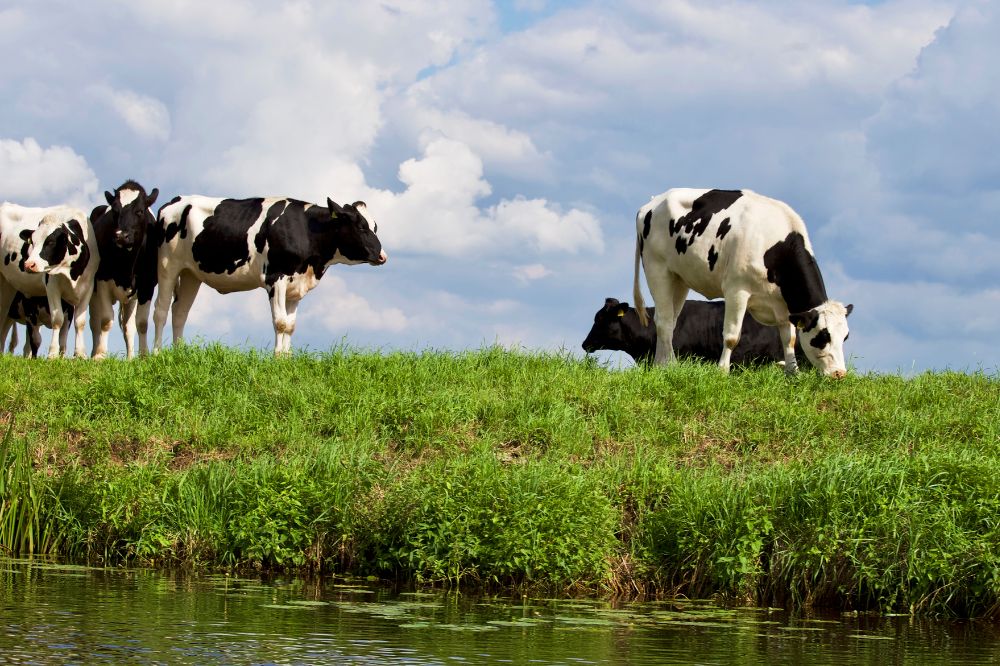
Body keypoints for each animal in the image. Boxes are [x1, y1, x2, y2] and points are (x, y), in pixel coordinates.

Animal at [0, 202, 98, 358]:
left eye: (51, 242)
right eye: (32, 242)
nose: (28, 264)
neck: (72, 273)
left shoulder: (88, 286)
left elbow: (80, 322)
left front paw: (80, 354)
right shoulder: (51, 286)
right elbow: (57, 320)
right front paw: (52, 354)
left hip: (9, 286)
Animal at [89, 179, 159, 358]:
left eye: (140, 211)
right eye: (115, 210)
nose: (121, 235)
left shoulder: (147, 285)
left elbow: (141, 323)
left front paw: (143, 356)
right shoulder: (102, 281)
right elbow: (106, 320)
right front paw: (100, 356)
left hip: (131, 299)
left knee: (128, 326)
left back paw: (129, 357)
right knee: (94, 323)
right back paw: (92, 353)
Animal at [154, 195, 388, 356]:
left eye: (375, 226)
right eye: (361, 226)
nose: (382, 256)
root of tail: (175, 201)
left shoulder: (296, 285)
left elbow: (291, 326)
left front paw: (287, 358)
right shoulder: (276, 278)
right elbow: (281, 322)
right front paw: (277, 358)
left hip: (190, 273)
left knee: (180, 312)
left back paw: (179, 354)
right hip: (167, 265)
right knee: (161, 311)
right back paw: (155, 354)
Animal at [632, 189, 852, 376]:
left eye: (845, 337)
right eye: (823, 336)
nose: (839, 374)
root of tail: (652, 202)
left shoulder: (783, 306)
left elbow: (788, 339)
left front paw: (793, 373)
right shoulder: (736, 291)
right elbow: (731, 336)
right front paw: (722, 371)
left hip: (679, 278)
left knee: (669, 320)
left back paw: (662, 365)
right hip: (657, 268)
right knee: (664, 321)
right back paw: (670, 365)